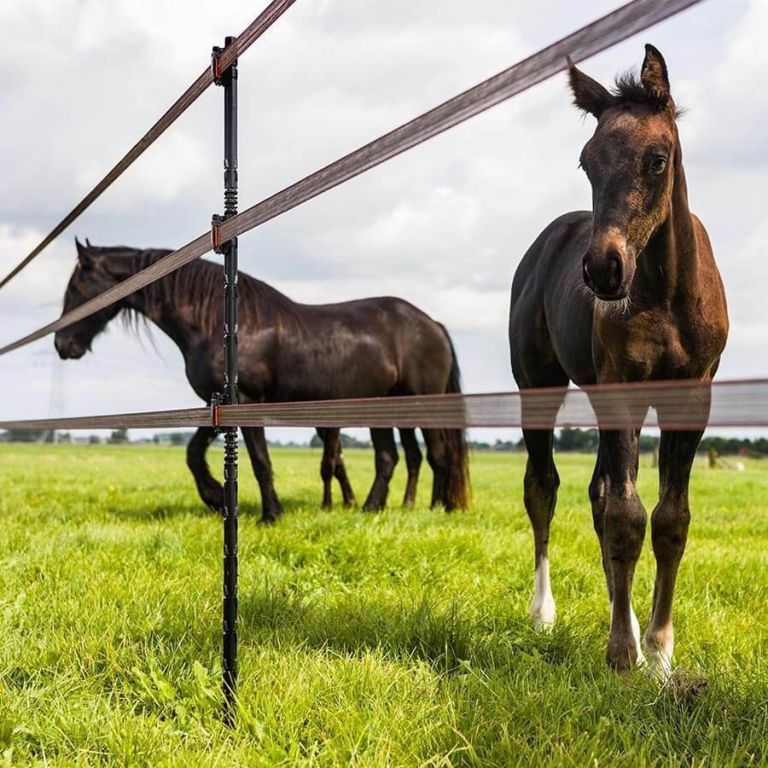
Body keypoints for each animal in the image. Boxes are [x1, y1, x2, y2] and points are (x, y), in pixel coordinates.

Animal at [54, 240, 472, 520]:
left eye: (76, 287)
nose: (62, 345)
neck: (219, 323)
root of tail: (431, 323)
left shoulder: (246, 401)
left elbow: (259, 460)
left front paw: (271, 514)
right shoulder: (216, 402)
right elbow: (193, 452)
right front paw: (214, 495)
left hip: (421, 403)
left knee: (437, 455)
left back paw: (437, 509)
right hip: (381, 406)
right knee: (390, 457)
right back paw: (372, 509)